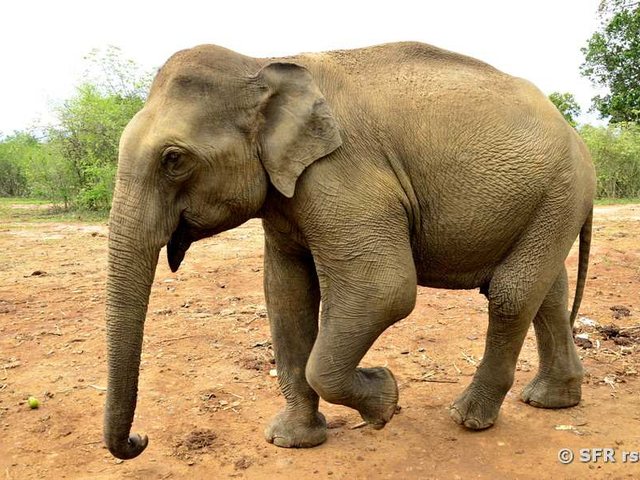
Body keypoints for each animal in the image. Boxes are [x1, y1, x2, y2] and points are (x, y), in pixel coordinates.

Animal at [104, 41, 596, 460]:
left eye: (173, 159)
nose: (139, 439)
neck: (260, 64)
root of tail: (575, 136)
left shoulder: (341, 174)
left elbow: (384, 290)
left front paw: (385, 401)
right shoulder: (286, 195)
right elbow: (286, 296)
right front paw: (292, 441)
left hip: (559, 191)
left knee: (511, 294)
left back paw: (467, 418)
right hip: (550, 201)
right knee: (546, 293)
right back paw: (550, 401)